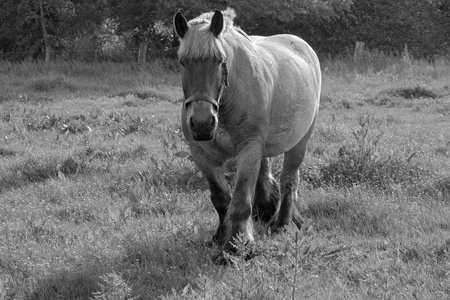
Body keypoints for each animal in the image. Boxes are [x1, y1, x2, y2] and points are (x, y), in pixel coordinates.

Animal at [172, 8, 320, 258]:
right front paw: (220, 237)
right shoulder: (201, 154)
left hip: (300, 141)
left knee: (289, 180)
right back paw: (266, 210)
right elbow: (221, 199)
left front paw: (236, 247)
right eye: (182, 62)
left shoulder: (249, 149)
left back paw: (281, 224)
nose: (202, 123)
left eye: (220, 61)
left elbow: (240, 201)